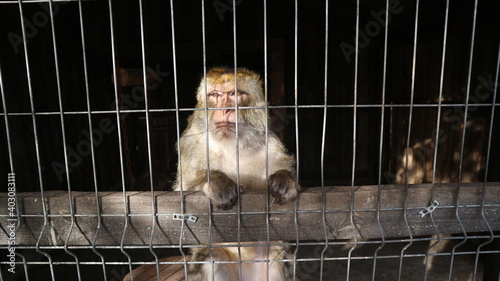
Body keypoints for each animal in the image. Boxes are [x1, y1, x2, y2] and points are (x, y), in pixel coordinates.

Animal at [175, 66, 300, 278]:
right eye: (216, 95)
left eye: (234, 94)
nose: (225, 109)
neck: (230, 144)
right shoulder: (191, 142)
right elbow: (181, 194)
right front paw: (218, 182)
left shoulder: (269, 142)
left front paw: (284, 178)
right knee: (212, 260)